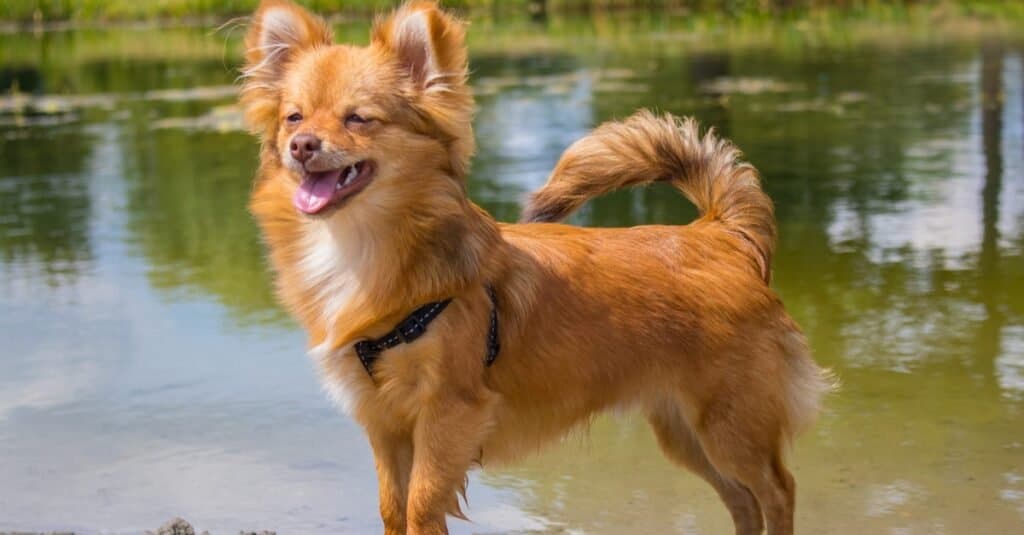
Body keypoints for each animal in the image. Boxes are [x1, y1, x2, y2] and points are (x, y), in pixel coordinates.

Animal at [239, 2, 831, 528]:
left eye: (359, 119)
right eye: (293, 117)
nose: (301, 145)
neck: (360, 247)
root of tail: (721, 233)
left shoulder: (448, 414)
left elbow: (421, 507)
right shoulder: (384, 423)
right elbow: (392, 509)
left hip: (729, 425)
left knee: (778, 490)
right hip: (685, 430)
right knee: (743, 500)